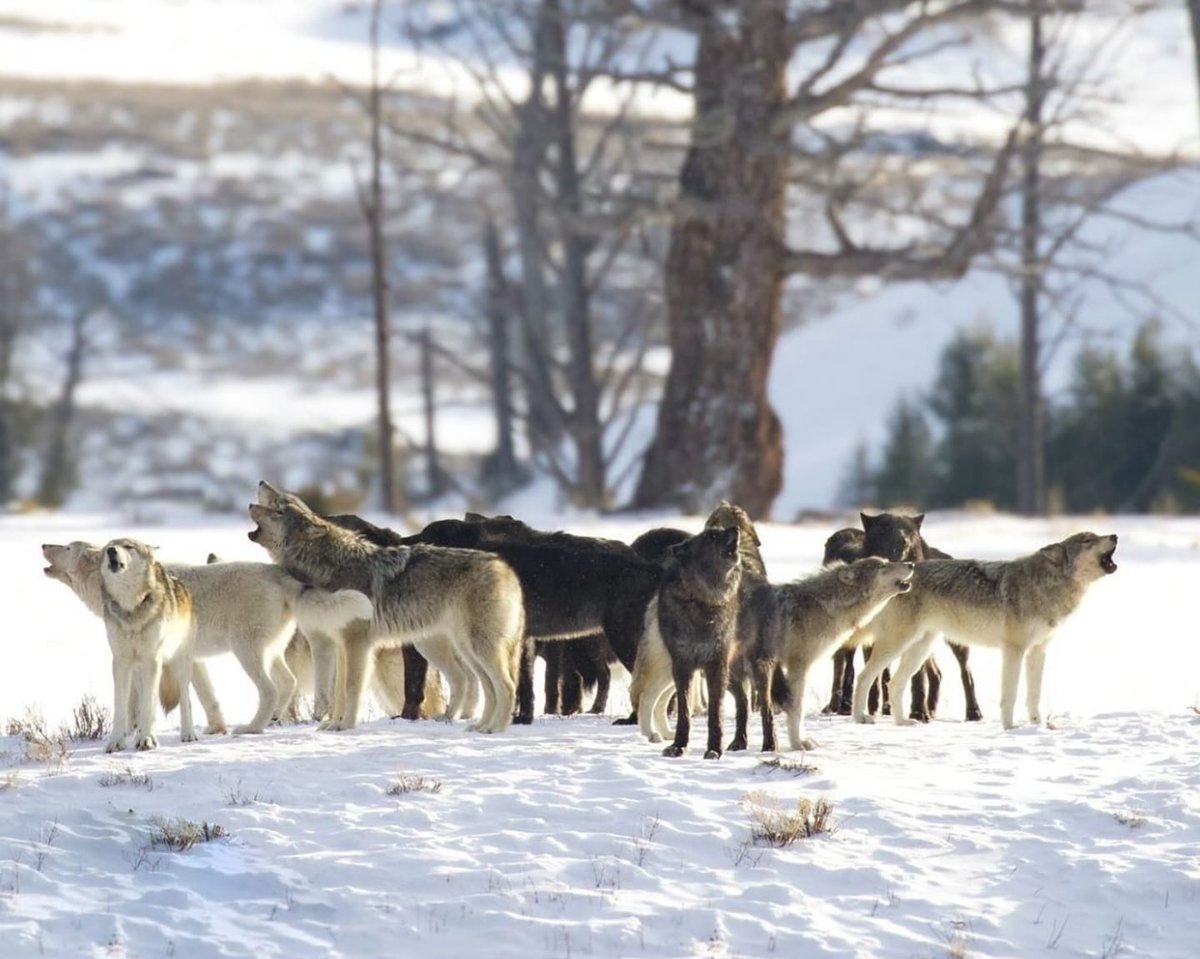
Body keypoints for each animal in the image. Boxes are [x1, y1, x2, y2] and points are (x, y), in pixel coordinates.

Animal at [246, 480, 523, 734]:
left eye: (279, 510)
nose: (250, 503)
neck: (329, 568)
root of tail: (506, 569)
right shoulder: (341, 645)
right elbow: (338, 691)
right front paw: (332, 725)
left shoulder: (357, 643)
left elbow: (351, 687)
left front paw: (345, 725)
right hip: (462, 648)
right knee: (481, 684)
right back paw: (479, 726)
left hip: (474, 648)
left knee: (506, 686)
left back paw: (496, 728)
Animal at [772, 559, 912, 753]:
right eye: (882, 566)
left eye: (886, 562)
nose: (911, 564)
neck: (826, 606)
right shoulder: (799, 667)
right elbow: (797, 708)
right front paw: (798, 744)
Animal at [849, 532, 1118, 729]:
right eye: (1087, 540)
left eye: (1095, 535)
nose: (1114, 535)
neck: (1045, 585)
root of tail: (897, 582)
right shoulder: (1013, 650)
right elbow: (1010, 694)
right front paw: (1010, 728)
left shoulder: (1037, 652)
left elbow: (1034, 695)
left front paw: (1037, 726)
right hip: (898, 645)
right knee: (864, 677)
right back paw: (860, 718)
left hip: (921, 649)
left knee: (894, 683)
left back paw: (902, 722)